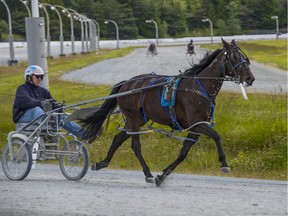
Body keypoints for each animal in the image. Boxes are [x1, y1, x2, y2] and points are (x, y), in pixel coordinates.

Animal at [80, 38, 254, 186]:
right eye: (234, 57)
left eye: (245, 57)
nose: (250, 78)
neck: (199, 87)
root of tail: (126, 83)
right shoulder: (196, 124)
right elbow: (217, 136)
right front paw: (224, 164)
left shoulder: (197, 126)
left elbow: (184, 152)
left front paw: (163, 175)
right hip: (133, 118)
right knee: (135, 146)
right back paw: (148, 174)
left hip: (136, 119)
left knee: (118, 139)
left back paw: (102, 163)